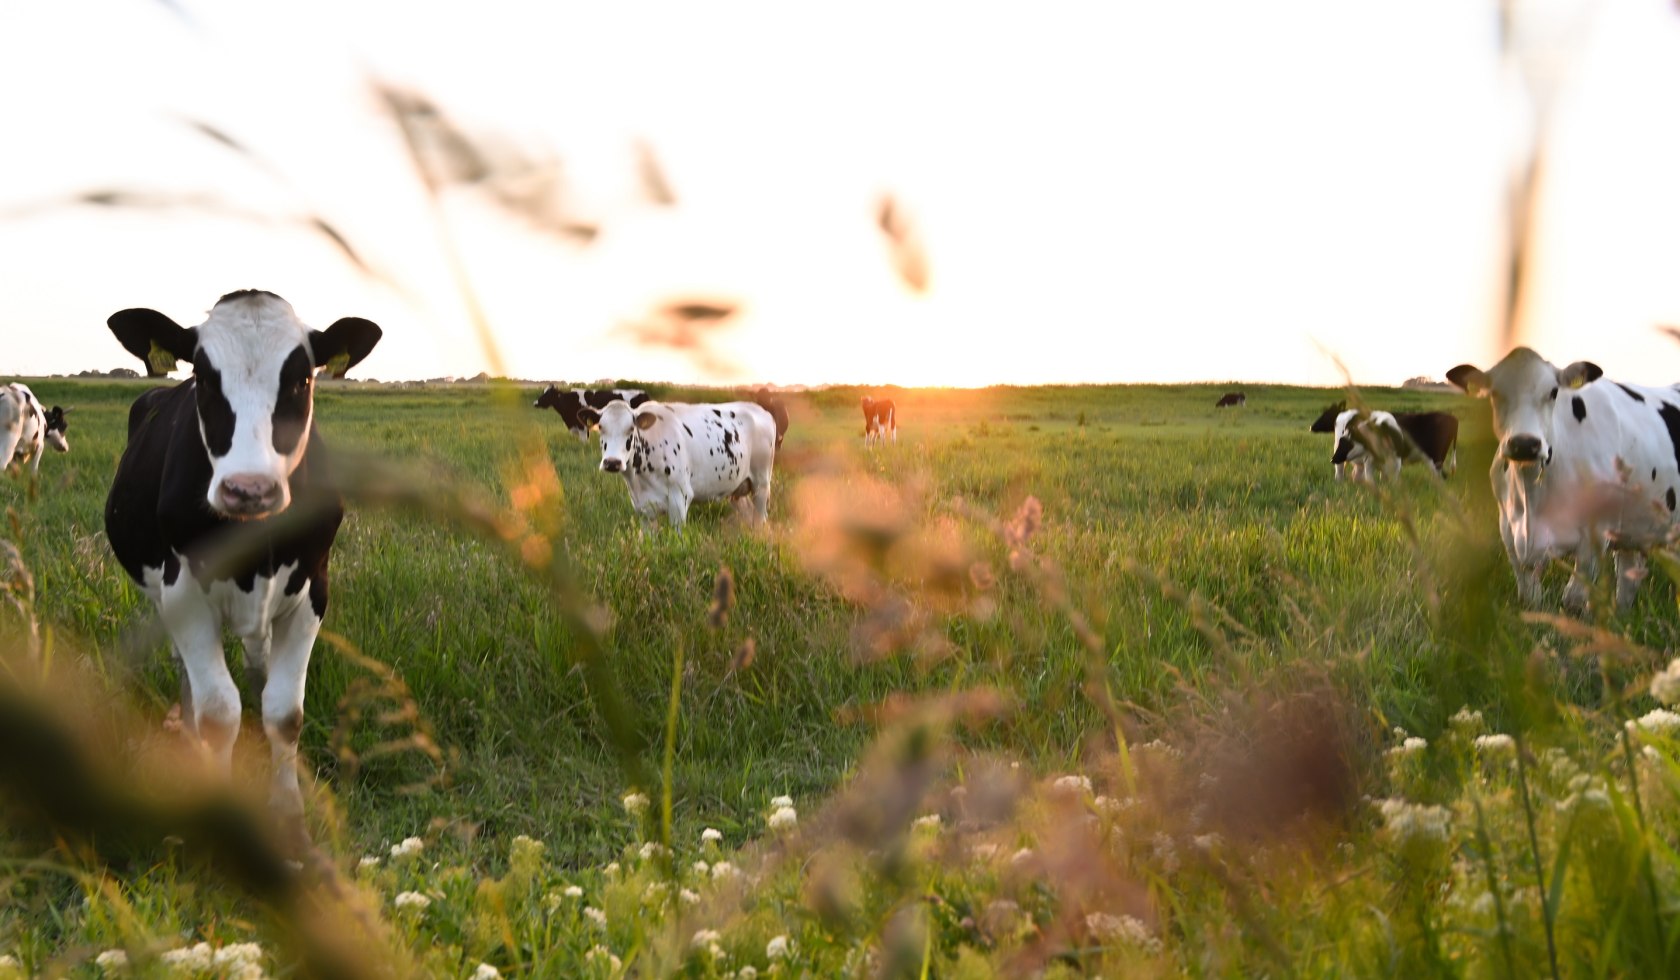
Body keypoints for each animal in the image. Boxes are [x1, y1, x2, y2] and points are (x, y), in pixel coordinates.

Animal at [101, 287, 384, 840]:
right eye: (204, 377)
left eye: (302, 378)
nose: (248, 488)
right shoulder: (183, 594)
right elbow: (218, 713)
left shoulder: (313, 589)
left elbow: (284, 711)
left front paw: (291, 818)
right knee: (189, 678)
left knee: (258, 669)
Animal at [577, 398, 779, 524]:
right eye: (600, 427)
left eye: (631, 429)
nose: (612, 462)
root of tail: (761, 410)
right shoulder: (644, 508)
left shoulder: (680, 499)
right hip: (737, 488)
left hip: (761, 483)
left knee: (761, 519)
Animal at [1444, 346, 1680, 611]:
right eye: (1494, 393)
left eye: (1554, 392)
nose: (1524, 444)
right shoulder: (1509, 532)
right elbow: (1529, 597)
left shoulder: (1596, 535)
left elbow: (1573, 599)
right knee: (1627, 580)